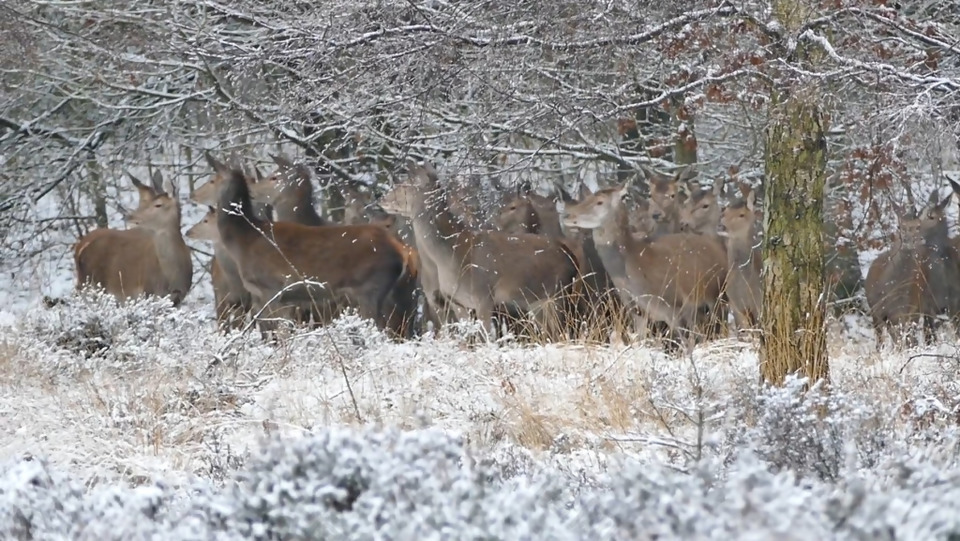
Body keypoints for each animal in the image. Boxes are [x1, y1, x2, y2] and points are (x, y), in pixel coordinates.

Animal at [74, 169, 193, 306]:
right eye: (146, 202)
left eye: (158, 205)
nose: (129, 216)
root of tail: (80, 246)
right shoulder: (147, 291)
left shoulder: (179, 297)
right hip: (92, 282)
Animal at [380, 160, 580, 340]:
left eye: (405, 185)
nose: (382, 199)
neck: (452, 254)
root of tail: (571, 257)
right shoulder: (457, 302)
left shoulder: (484, 296)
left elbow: (485, 339)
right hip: (536, 302)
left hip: (558, 294)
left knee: (564, 332)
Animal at [560, 181, 724, 350]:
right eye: (587, 198)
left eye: (599, 202)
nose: (567, 215)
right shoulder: (636, 311)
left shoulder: (673, 306)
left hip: (717, 296)